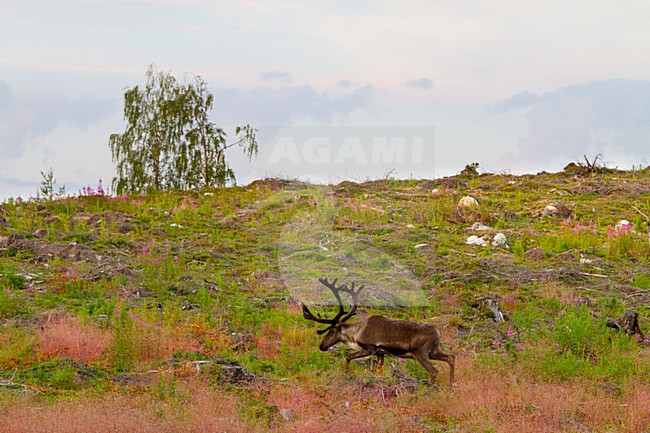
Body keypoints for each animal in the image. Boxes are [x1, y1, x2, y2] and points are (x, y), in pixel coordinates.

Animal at [301, 277, 455, 386]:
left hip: (421, 352)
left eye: (331, 332)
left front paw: (346, 372)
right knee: (451, 358)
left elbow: (348, 357)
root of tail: (438, 332)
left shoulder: (370, 348)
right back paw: (452, 384)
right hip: (434, 351)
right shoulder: (381, 353)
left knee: (434, 370)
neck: (356, 333)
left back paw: (431, 386)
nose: (322, 346)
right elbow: (378, 369)